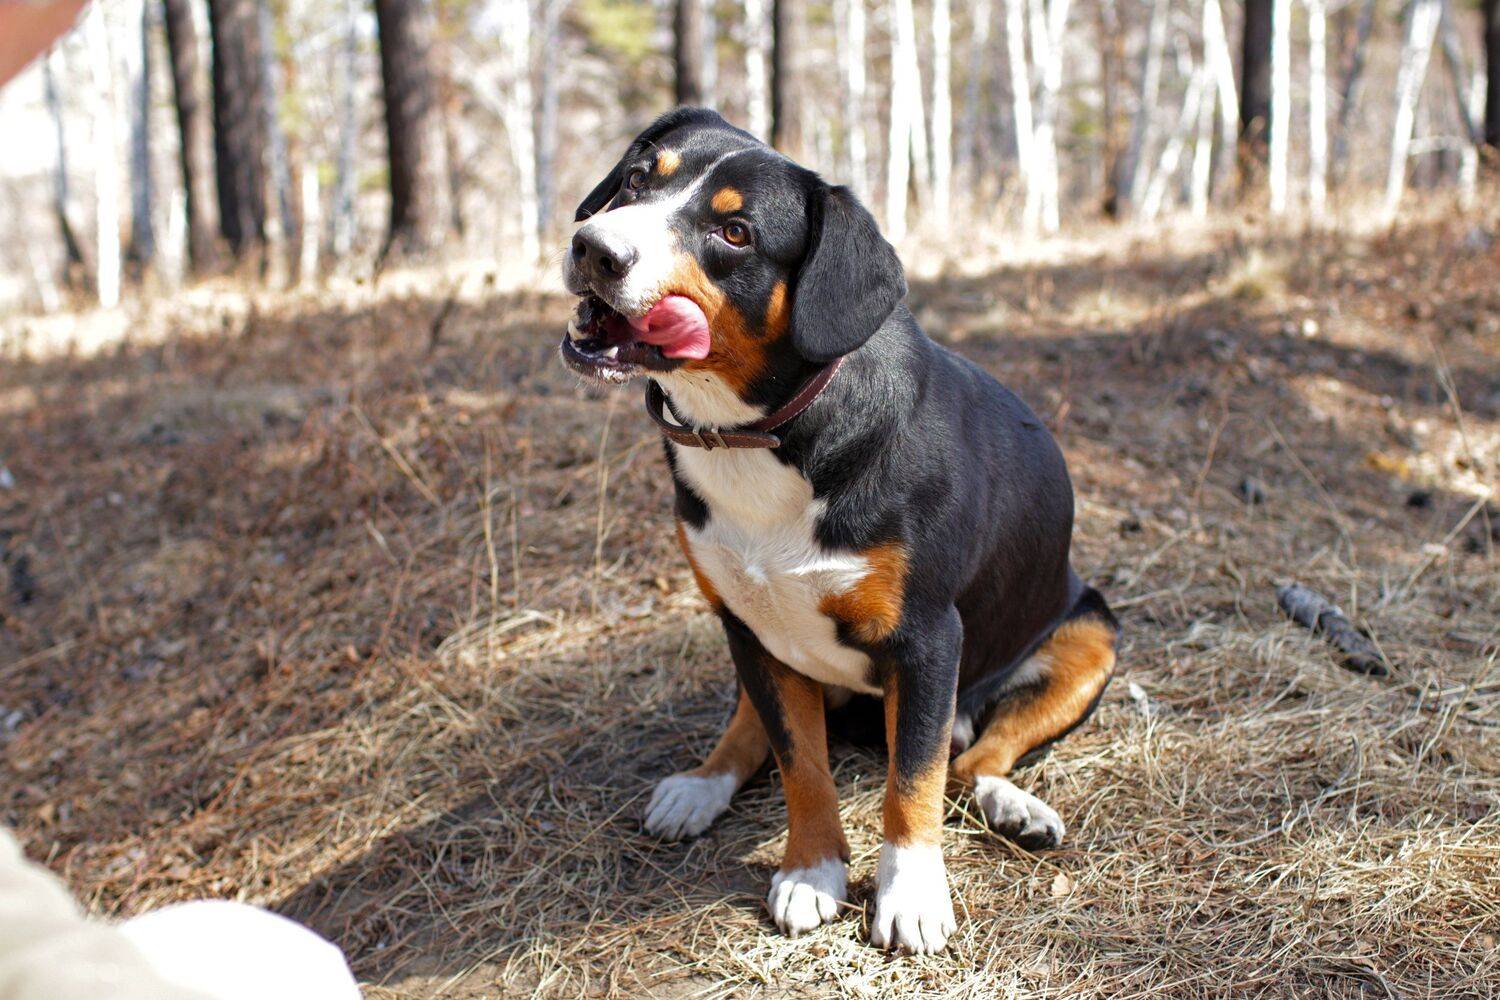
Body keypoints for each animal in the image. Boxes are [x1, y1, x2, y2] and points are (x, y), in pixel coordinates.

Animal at [560, 108, 1118, 954]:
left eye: (734, 232)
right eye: (635, 179)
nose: (594, 247)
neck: (758, 435)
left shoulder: (927, 639)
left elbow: (911, 779)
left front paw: (910, 894)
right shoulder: (752, 627)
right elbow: (801, 763)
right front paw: (811, 869)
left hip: (1091, 635)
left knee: (972, 760)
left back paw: (1013, 803)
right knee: (756, 724)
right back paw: (703, 783)